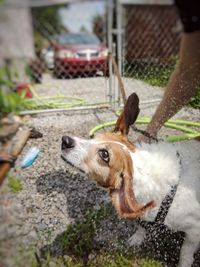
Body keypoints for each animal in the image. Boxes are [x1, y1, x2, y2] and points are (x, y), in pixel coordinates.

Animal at [61, 92, 200, 267]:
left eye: (104, 155)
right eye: (93, 137)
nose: (65, 140)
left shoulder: (195, 231)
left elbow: (185, 254)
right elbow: (141, 226)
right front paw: (137, 238)